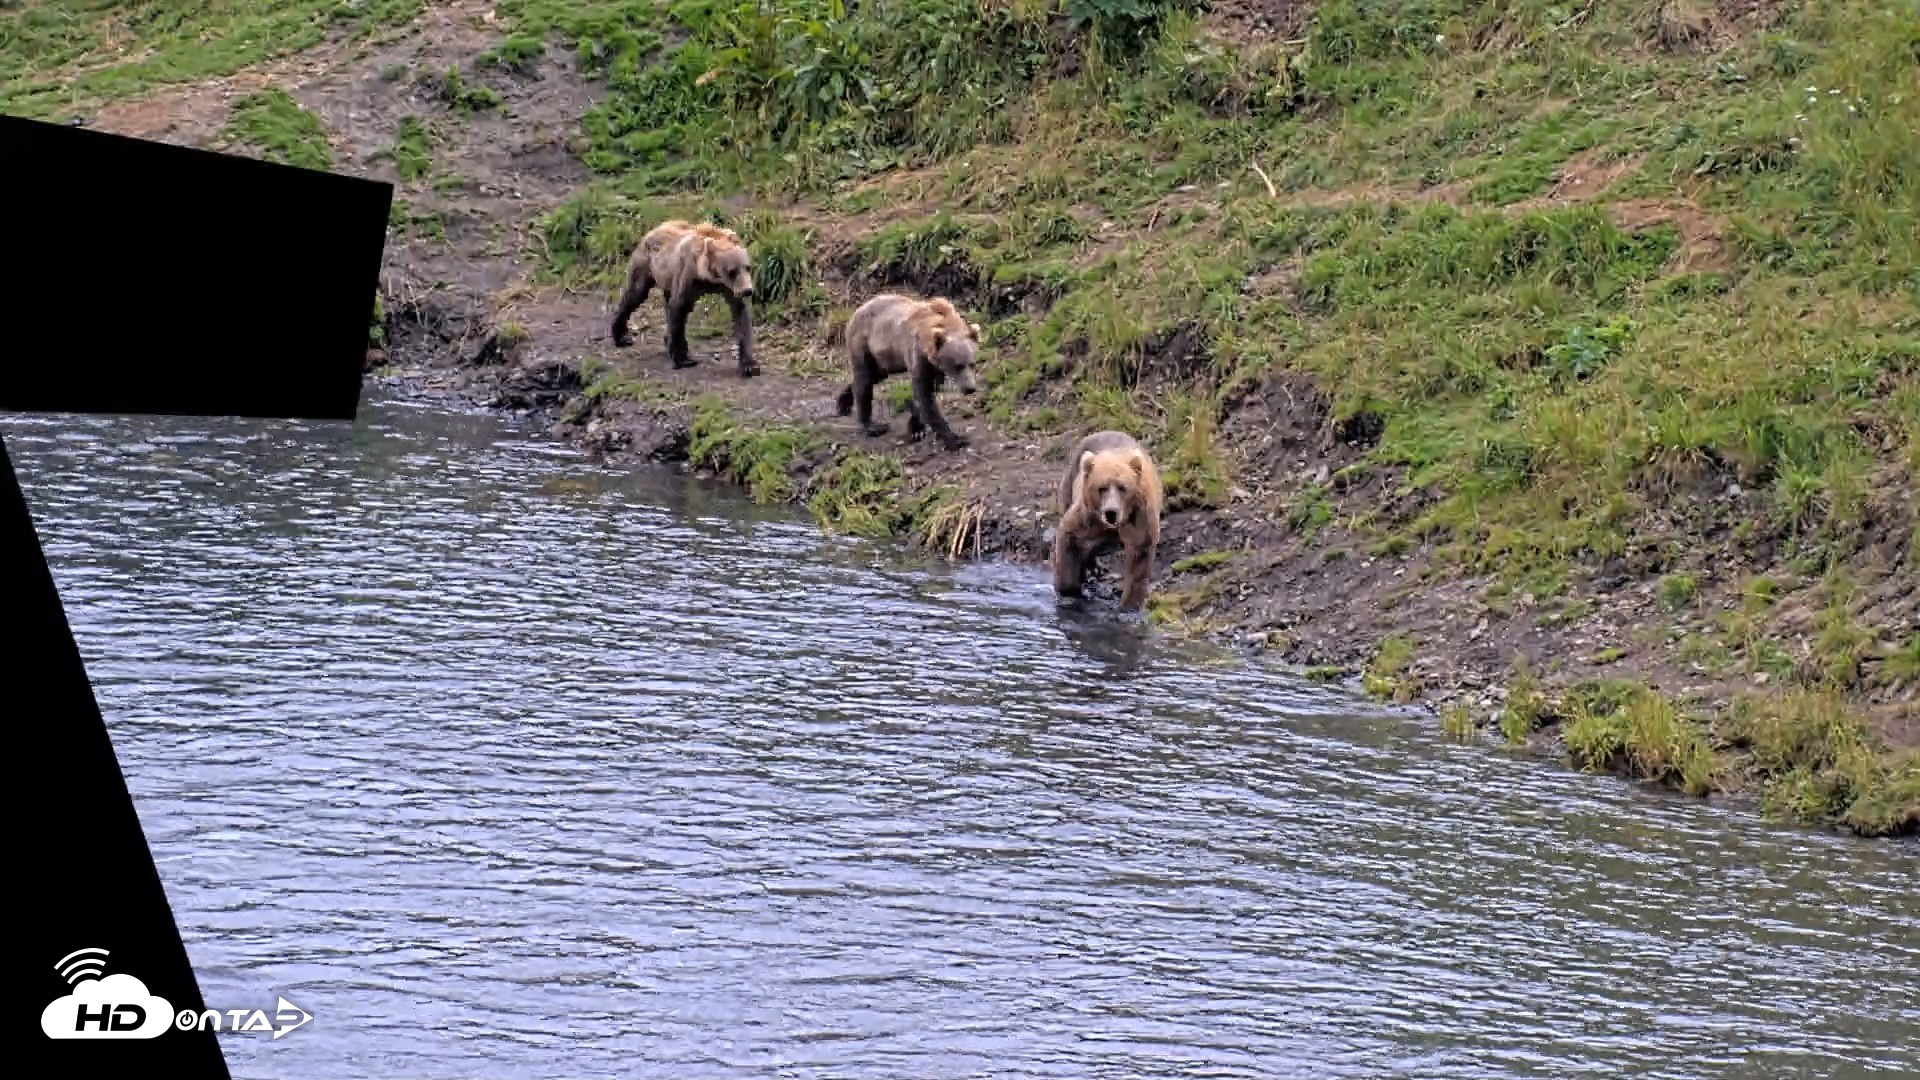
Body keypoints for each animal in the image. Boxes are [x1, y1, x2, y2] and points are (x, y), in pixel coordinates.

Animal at [609, 219, 759, 378]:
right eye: (732, 271)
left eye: (747, 267)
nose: (747, 291)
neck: (709, 278)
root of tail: (653, 230)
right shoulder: (689, 276)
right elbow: (679, 308)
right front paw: (683, 359)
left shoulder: (728, 288)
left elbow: (741, 315)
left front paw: (749, 365)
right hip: (647, 264)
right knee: (635, 295)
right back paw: (622, 337)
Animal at [832, 292, 983, 452]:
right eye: (957, 366)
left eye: (972, 363)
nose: (970, 388)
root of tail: (859, 309)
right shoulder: (918, 354)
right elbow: (925, 395)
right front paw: (955, 439)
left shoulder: (933, 366)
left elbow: (927, 393)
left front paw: (916, 428)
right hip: (863, 342)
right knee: (865, 379)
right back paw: (872, 426)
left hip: (885, 358)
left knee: (874, 375)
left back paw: (843, 403)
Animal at [1051, 430, 1164, 612]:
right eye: (1101, 488)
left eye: (1123, 487)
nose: (1111, 512)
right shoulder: (1088, 514)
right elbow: (1069, 535)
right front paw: (1069, 590)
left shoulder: (1140, 517)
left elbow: (1139, 555)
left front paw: (1130, 605)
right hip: (1072, 478)